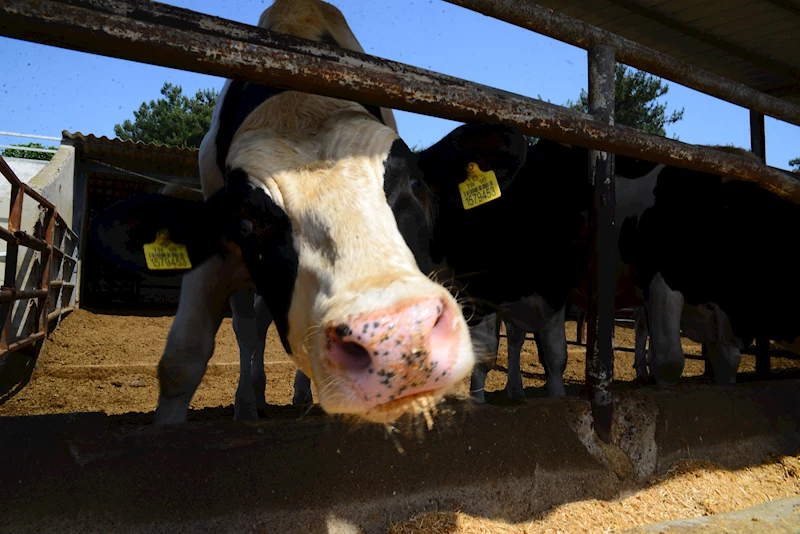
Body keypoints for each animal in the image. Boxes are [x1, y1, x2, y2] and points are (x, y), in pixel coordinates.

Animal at [90, 0, 482, 428]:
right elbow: (182, 359)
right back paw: (249, 403)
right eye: (246, 221)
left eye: (415, 185)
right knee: (248, 327)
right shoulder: (216, 250)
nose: (396, 339)